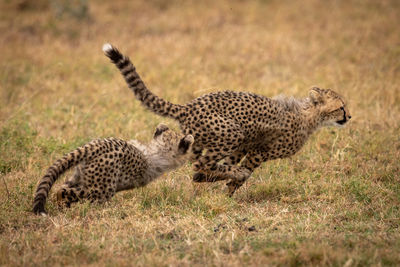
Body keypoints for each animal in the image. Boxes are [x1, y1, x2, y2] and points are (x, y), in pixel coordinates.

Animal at [32, 124, 194, 216]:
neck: (159, 149)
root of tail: (95, 145)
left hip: (79, 177)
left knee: (62, 187)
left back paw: (63, 207)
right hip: (101, 190)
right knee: (64, 192)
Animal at [102, 43, 350, 197]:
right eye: (340, 107)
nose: (349, 116)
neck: (308, 115)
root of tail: (187, 106)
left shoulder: (245, 147)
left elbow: (225, 166)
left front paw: (218, 183)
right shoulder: (259, 151)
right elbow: (241, 173)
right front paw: (229, 190)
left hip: (206, 139)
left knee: (200, 163)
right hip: (231, 133)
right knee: (201, 164)